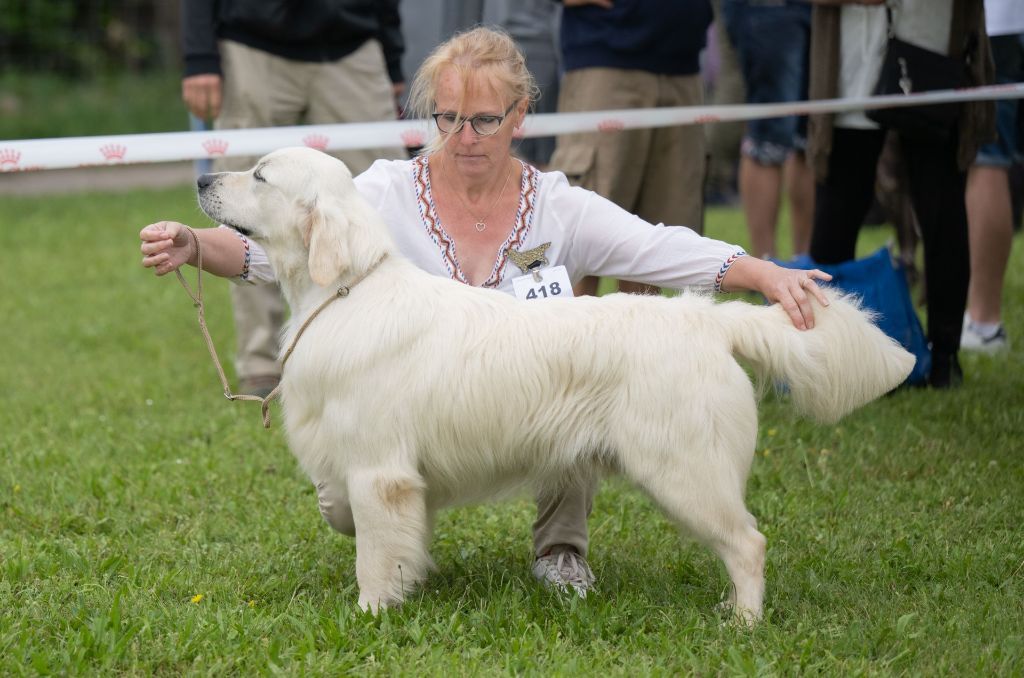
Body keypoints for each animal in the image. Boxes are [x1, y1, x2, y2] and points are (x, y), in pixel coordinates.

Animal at [195, 147, 917, 622]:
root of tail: (705, 318)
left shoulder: (377, 471)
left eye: (260, 175)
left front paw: (372, 613)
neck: (344, 292)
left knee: (748, 542)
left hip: (685, 469)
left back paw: (742, 620)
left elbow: (374, 555)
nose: (201, 177)